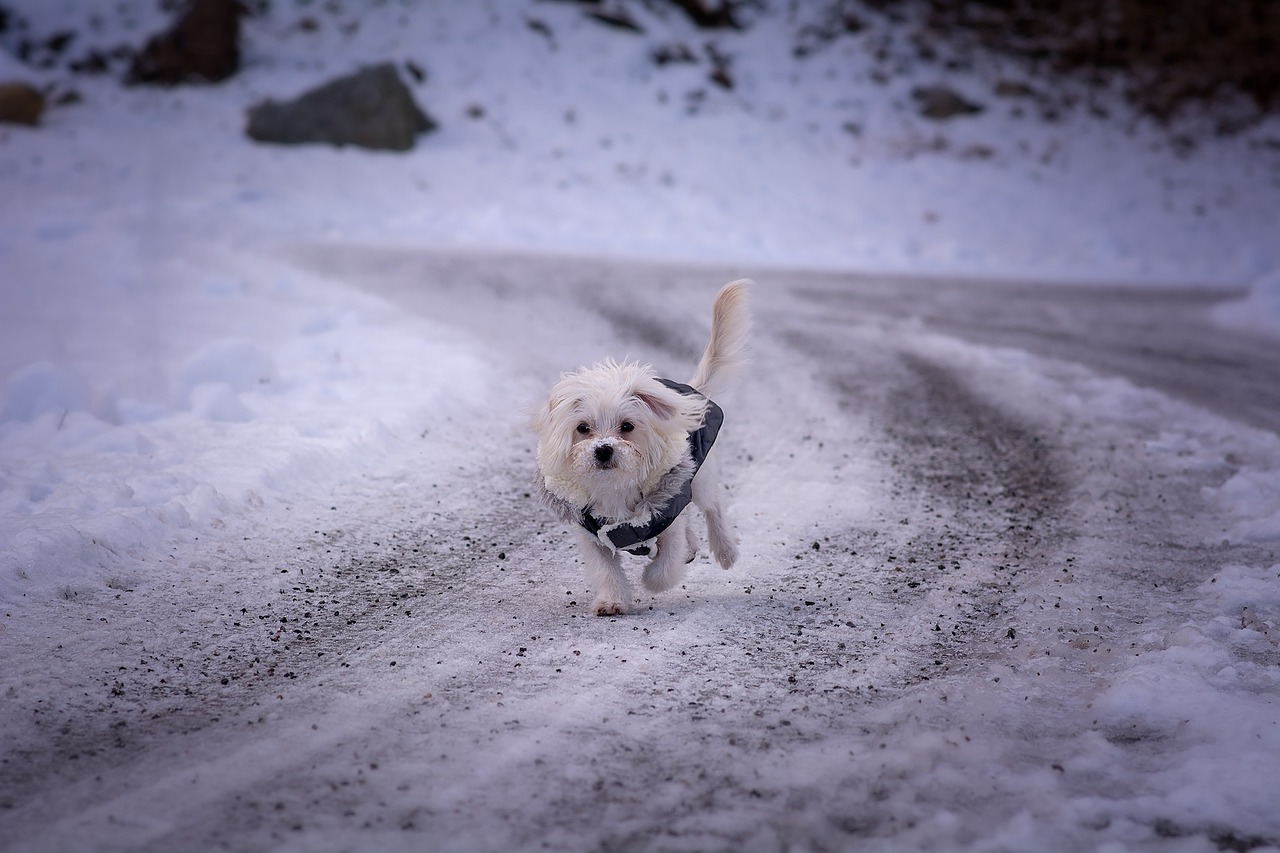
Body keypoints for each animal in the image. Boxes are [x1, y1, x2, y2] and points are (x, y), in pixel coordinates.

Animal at [529, 281, 747, 614]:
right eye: (583, 428)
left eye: (627, 427)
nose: (603, 449)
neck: (615, 487)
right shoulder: (592, 533)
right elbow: (605, 570)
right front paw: (611, 600)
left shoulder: (666, 514)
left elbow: (667, 564)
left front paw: (652, 580)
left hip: (697, 478)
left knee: (714, 507)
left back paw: (725, 550)